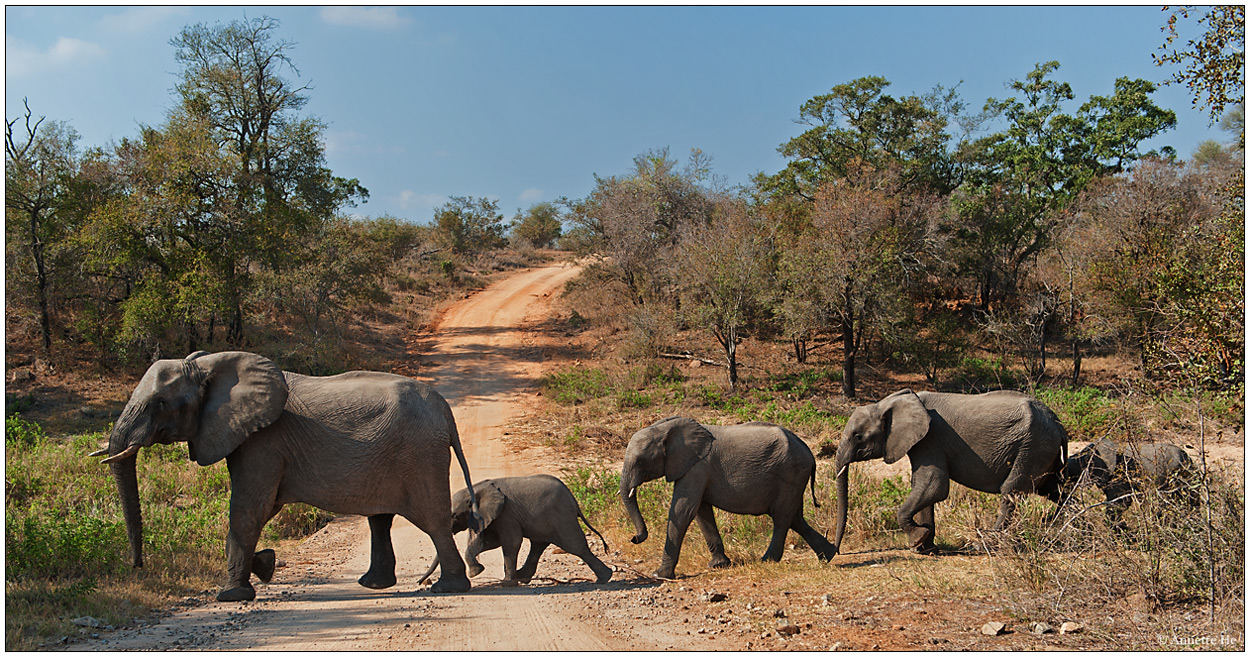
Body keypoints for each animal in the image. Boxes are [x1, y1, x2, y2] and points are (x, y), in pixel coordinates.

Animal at [90, 352, 480, 604]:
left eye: (160, 404)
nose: (137, 566)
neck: (208, 365)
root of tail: (445, 410)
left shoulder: (263, 440)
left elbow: (251, 509)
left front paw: (231, 595)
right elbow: (262, 508)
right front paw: (264, 565)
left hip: (420, 454)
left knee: (432, 518)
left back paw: (448, 588)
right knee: (380, 518)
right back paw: (373, 585)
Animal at [420, 474, 615, 587]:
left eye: (453, 516)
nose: (422, 582)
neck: (475, 488)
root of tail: (574, 501)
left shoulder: (507, 513)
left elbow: (511, 542)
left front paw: (505, 583)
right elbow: (490, 542)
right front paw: (478, 571)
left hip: (562, 517)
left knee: (574, 546)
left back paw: (604, 578)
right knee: (538, 545)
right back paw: (523, 577)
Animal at [620, 419, 835, 579]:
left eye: (641, 462)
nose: (634, 538)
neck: (664, 428)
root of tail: (809, 452)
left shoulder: (697, 467)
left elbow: (683, 510)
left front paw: (659, 575)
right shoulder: (696, 469)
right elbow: (701, 512)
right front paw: (719, 565)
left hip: (791, 473)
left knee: (782, 517)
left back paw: (767, 560)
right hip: (795, 478)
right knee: (795, 518)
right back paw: (828, 555)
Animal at [830, 392, 1065, 557]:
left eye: (858, 436)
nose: (837, 551)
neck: (888, 402)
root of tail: (1057, 422)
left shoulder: (931, 438)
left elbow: (934, 485)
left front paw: (917, 539)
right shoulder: (922, 442)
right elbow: (922, 487)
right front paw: (925, 549)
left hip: (1033, 446)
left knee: (1011, 491)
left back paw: (983, 546)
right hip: (1042, 449)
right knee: (1055, 489)